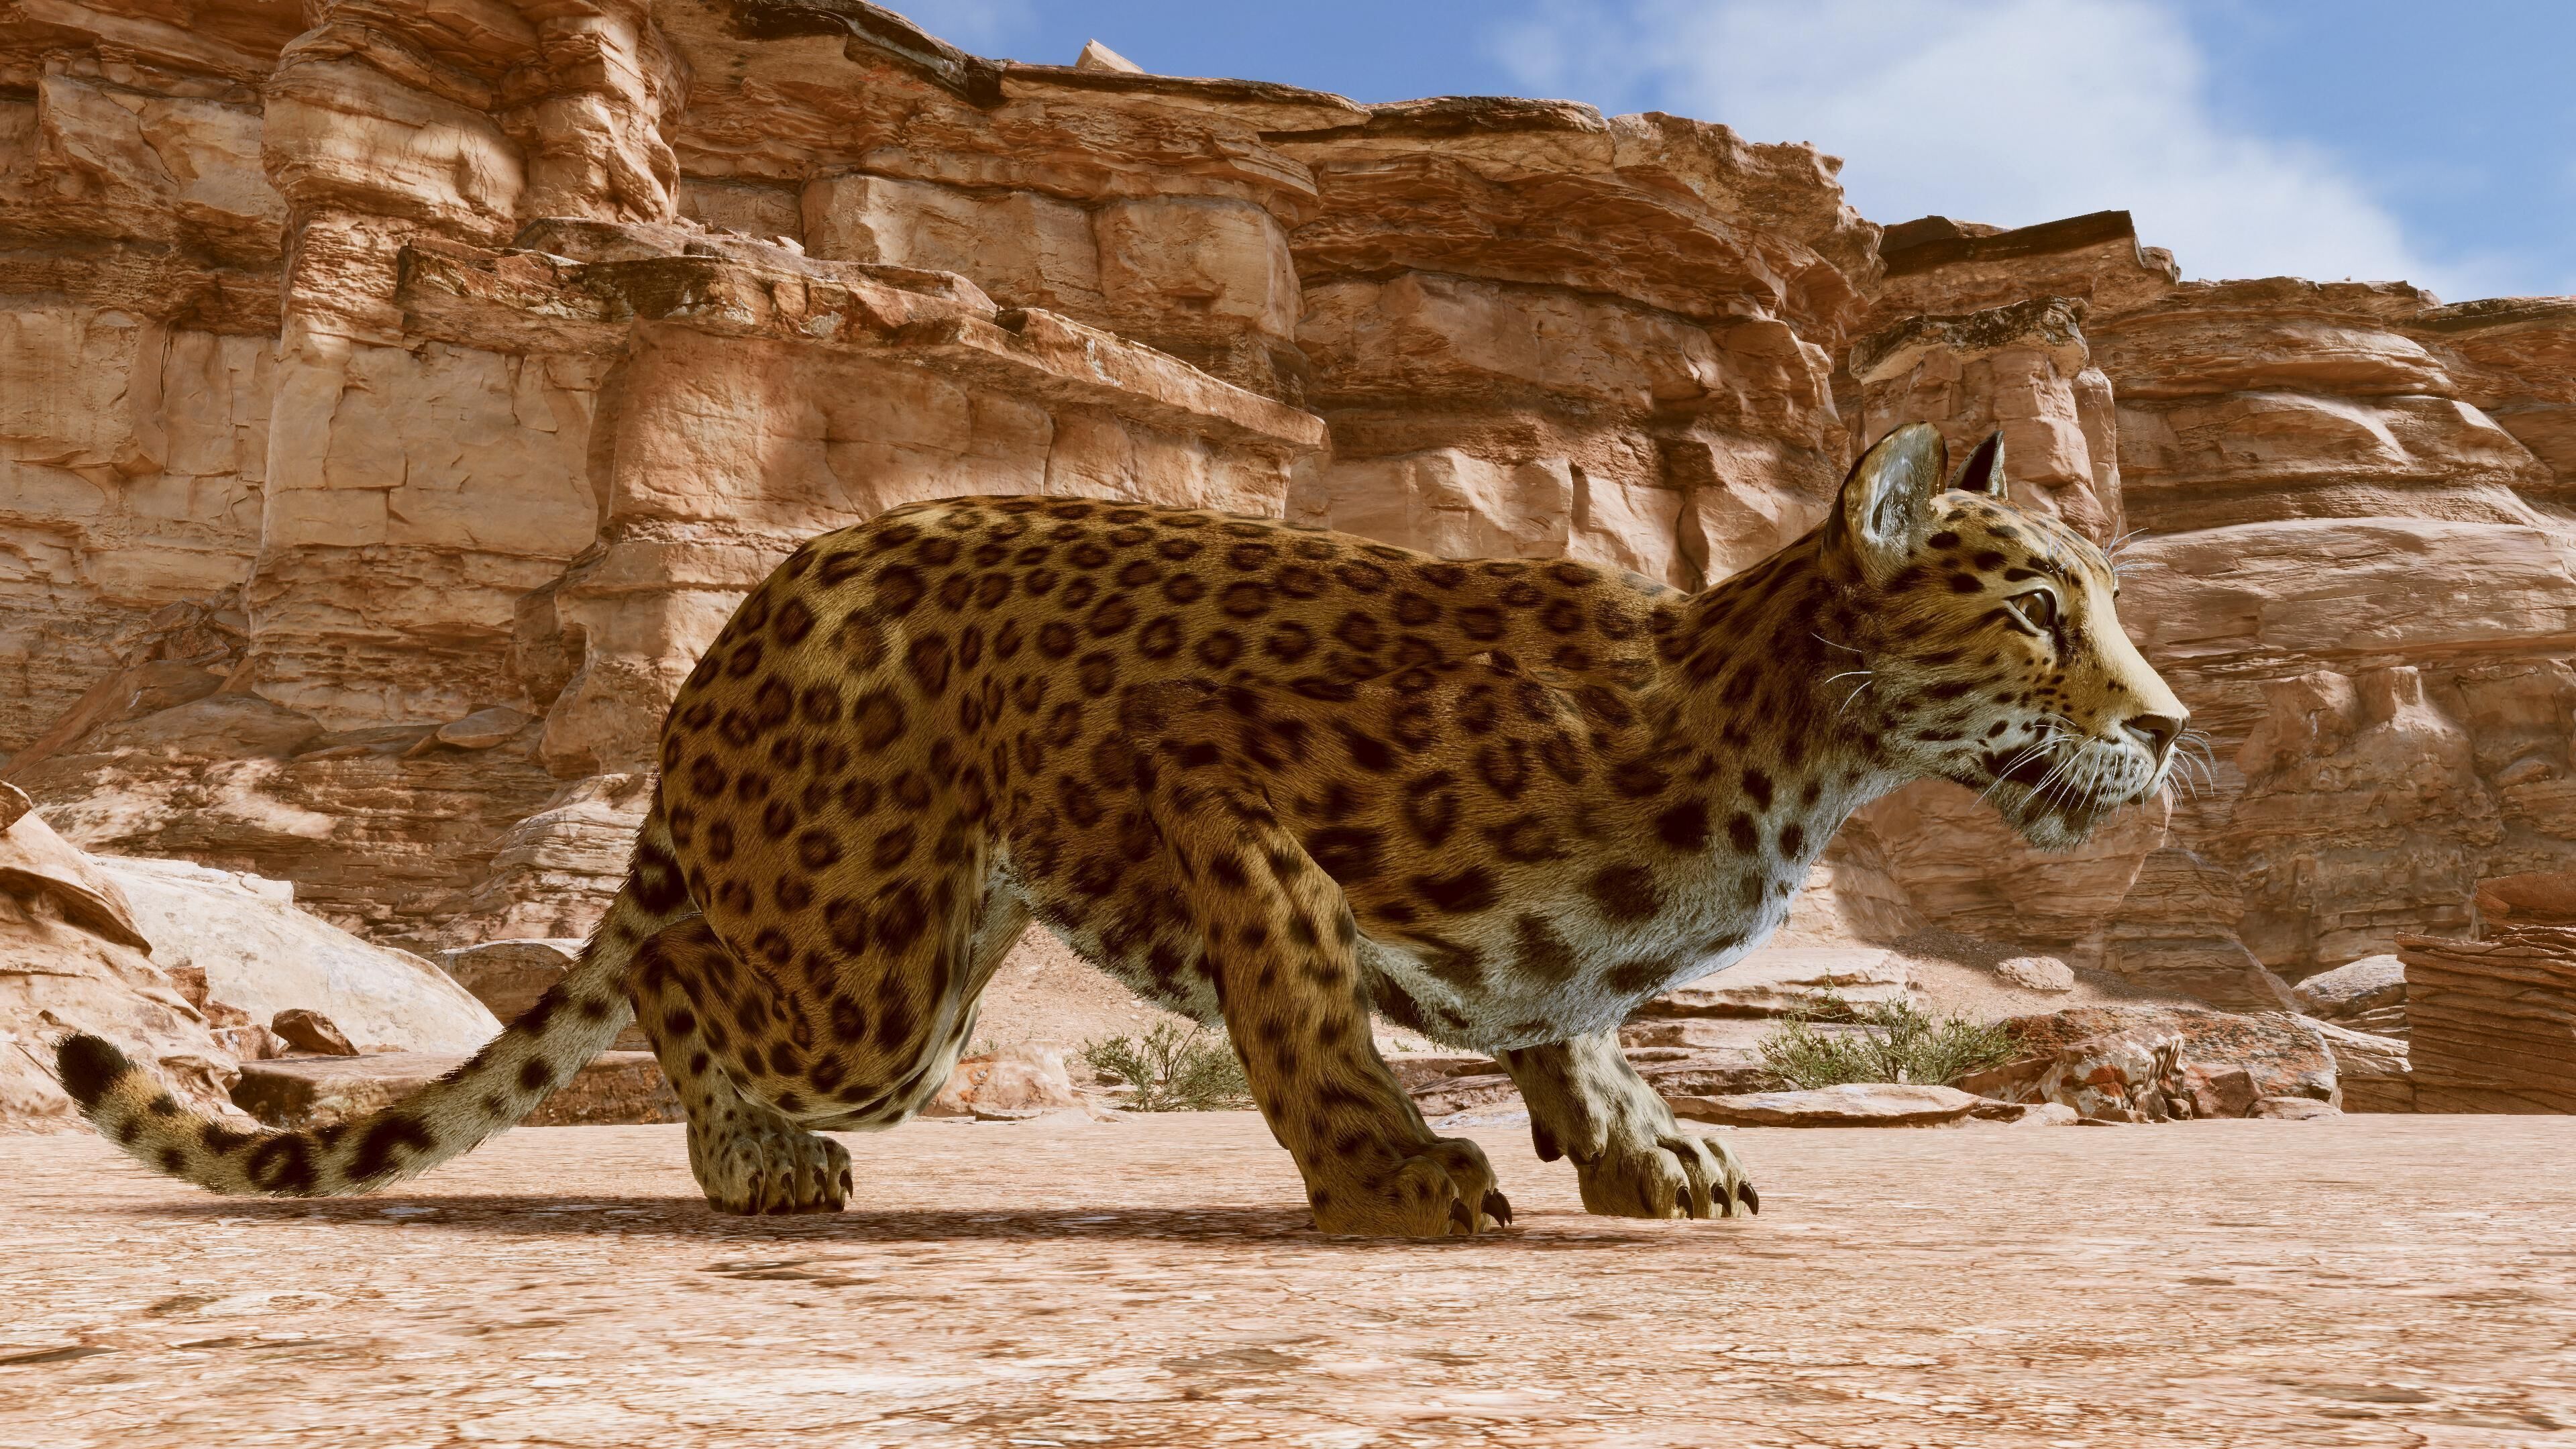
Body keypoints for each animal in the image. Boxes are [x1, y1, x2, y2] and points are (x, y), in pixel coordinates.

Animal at [56, 422, 2188, 1237]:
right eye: (2036, 608)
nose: (2169, 730)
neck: (1792, 747)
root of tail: (736, 620)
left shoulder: (1546, 952)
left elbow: (1568, 1019)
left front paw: (1649, 1152)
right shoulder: (1215, 780)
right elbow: (1314, 1002)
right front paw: (1397, 1175)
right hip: (871, 975)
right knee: (680, 981)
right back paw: (755, 1162)